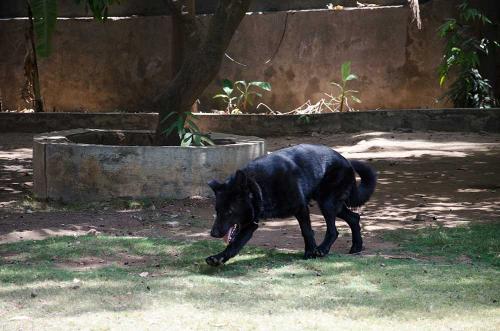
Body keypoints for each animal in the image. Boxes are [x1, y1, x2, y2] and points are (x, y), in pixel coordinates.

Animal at [206, 145, 376, 268]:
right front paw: (218, 258)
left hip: (327, 204)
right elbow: (235, 245)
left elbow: (306, 231)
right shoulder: (250, 223)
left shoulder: (301, 208)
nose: (213, 234)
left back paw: (322, 249)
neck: (258, 186)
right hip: (334, 205)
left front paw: (310, 253)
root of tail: (347, 162)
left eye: (229, 211)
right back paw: (356, 246)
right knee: (354, 217)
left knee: (334, 230)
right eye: (217, 211)